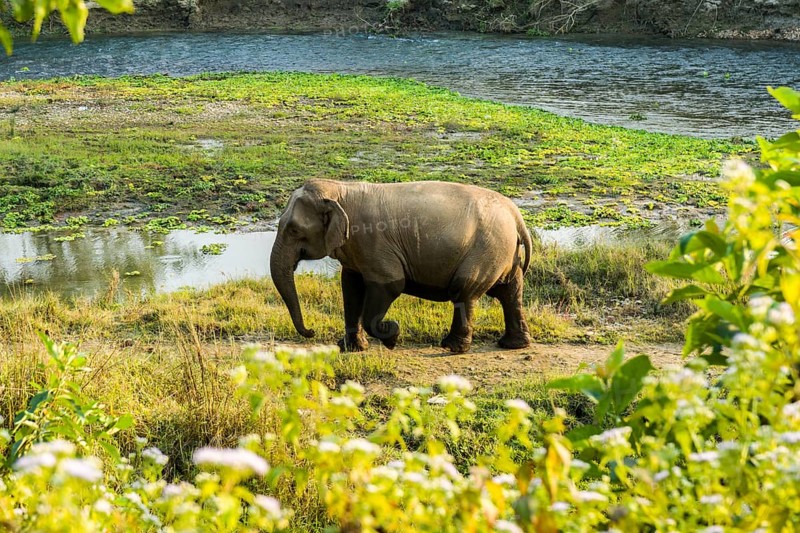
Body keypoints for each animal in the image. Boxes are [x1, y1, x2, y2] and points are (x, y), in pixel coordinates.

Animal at [270, 179, 533, 354]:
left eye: (294, 230)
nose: (311, 331)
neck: (341, 190)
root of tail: (515, 214)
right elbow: (350, 286)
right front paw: (351, 348)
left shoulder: (374, 243)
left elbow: (391, 284)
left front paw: (392, 336)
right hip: (501, 251)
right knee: (509, 291)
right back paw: (513, 345)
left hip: (486, 248)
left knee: (465, 291)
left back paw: (452, 347)